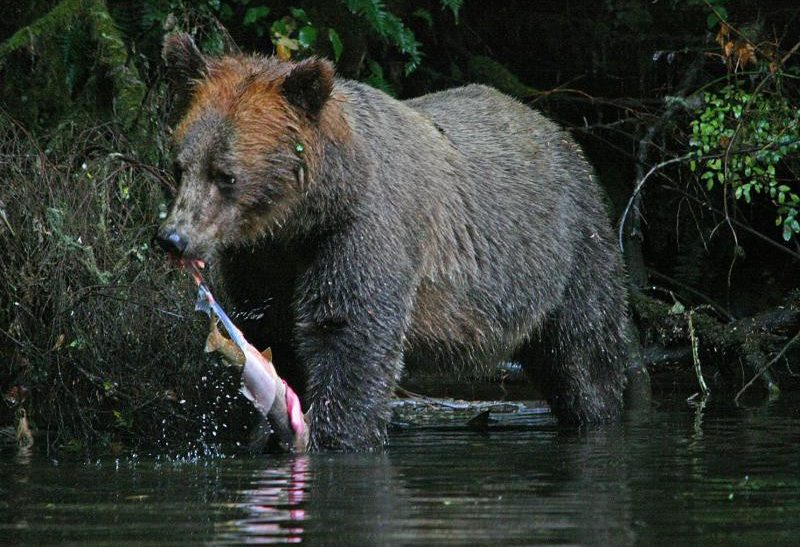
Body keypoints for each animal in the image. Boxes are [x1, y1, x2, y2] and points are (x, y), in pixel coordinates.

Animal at [156, 33, 631, 451]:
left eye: (226, 175)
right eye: (181, 165)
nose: (174, 238)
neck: (308, 213)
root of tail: (559, 132)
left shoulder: (365, 231)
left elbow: (351, 334)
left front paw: (335, 434)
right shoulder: (263, 259)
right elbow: (273, 330)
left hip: (569, 253)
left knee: (587, 355)